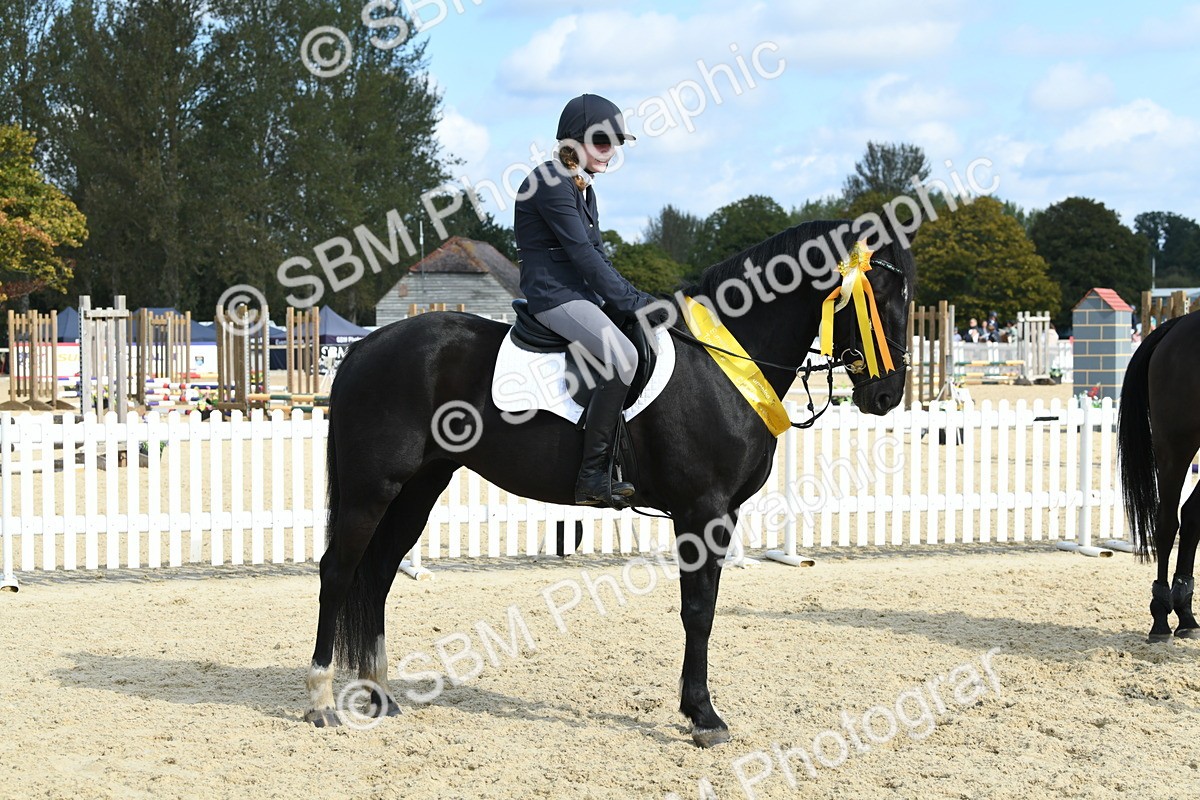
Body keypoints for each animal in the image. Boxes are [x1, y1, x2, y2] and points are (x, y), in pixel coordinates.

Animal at [305, 219, 916, 746]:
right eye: (883, 297)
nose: (886, 396)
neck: (723, 361)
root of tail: (363, 348)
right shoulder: (703, 512)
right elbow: (698, 612)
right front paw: (703, 716)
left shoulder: (721, 514)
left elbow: (705, 608)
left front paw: (697, 709)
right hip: (372, 489)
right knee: (338, 573)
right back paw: (321, 700)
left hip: (418, 489)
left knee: (379, 574)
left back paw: (380, 694)